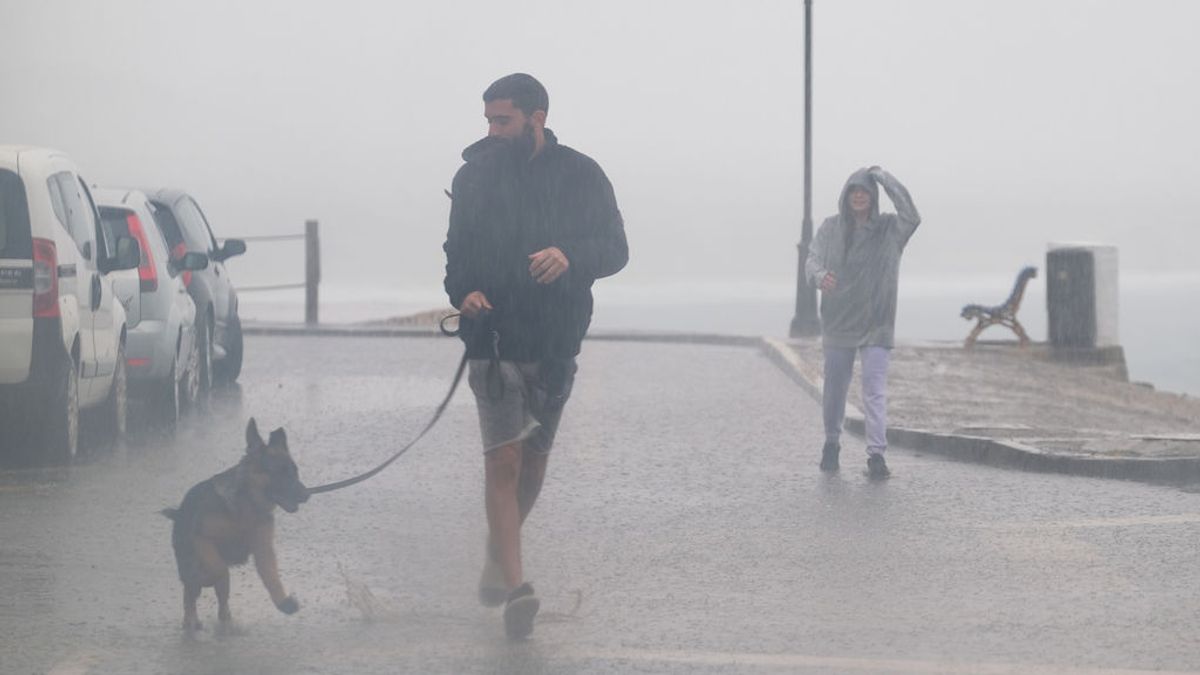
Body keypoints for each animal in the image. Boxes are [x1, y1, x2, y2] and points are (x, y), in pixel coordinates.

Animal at [159, 415, 309, 629]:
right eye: (280, 472)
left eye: (295, 471)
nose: (307, 495)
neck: (246, 505)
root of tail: (179, 513)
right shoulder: (203, 540)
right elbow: (219, 567)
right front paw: (211, 575)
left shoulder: (263, 549)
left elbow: (270, 575)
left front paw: (283, 601)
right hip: (188, 565)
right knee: (190, 593)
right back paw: (191, 619)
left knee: (220, 599)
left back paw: (225, 618)